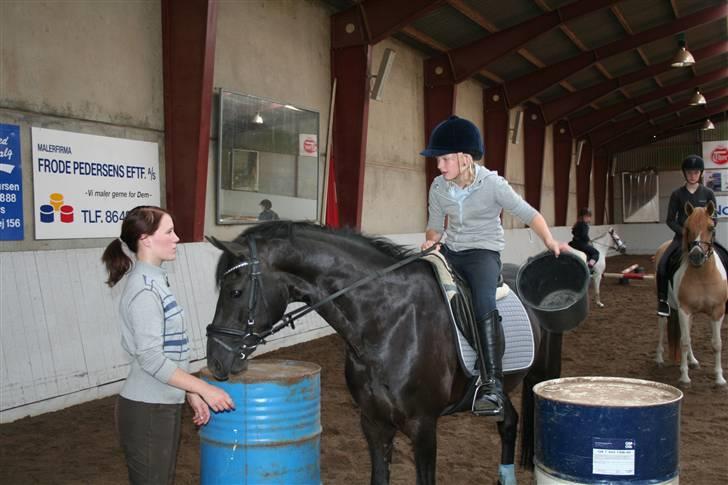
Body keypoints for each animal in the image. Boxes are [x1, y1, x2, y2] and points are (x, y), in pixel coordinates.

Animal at [208, 221, 564, 482]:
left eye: (235, 291)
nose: (215, 359)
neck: (387, 321)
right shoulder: (374, 422)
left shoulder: (424, 427)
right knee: (509, 422)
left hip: (536, 376)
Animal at [656, 200, 728, 386]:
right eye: (687, 228)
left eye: (711, 227)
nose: (696, 256)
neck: (703, 275)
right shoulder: (684, 310)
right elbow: (684, 341)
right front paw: (684, 376)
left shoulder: (717, 311)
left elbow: (717, 344)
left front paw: (720, 379)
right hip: (665, 306)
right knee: (662, 326)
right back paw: (659, 358)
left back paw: (693, 361)